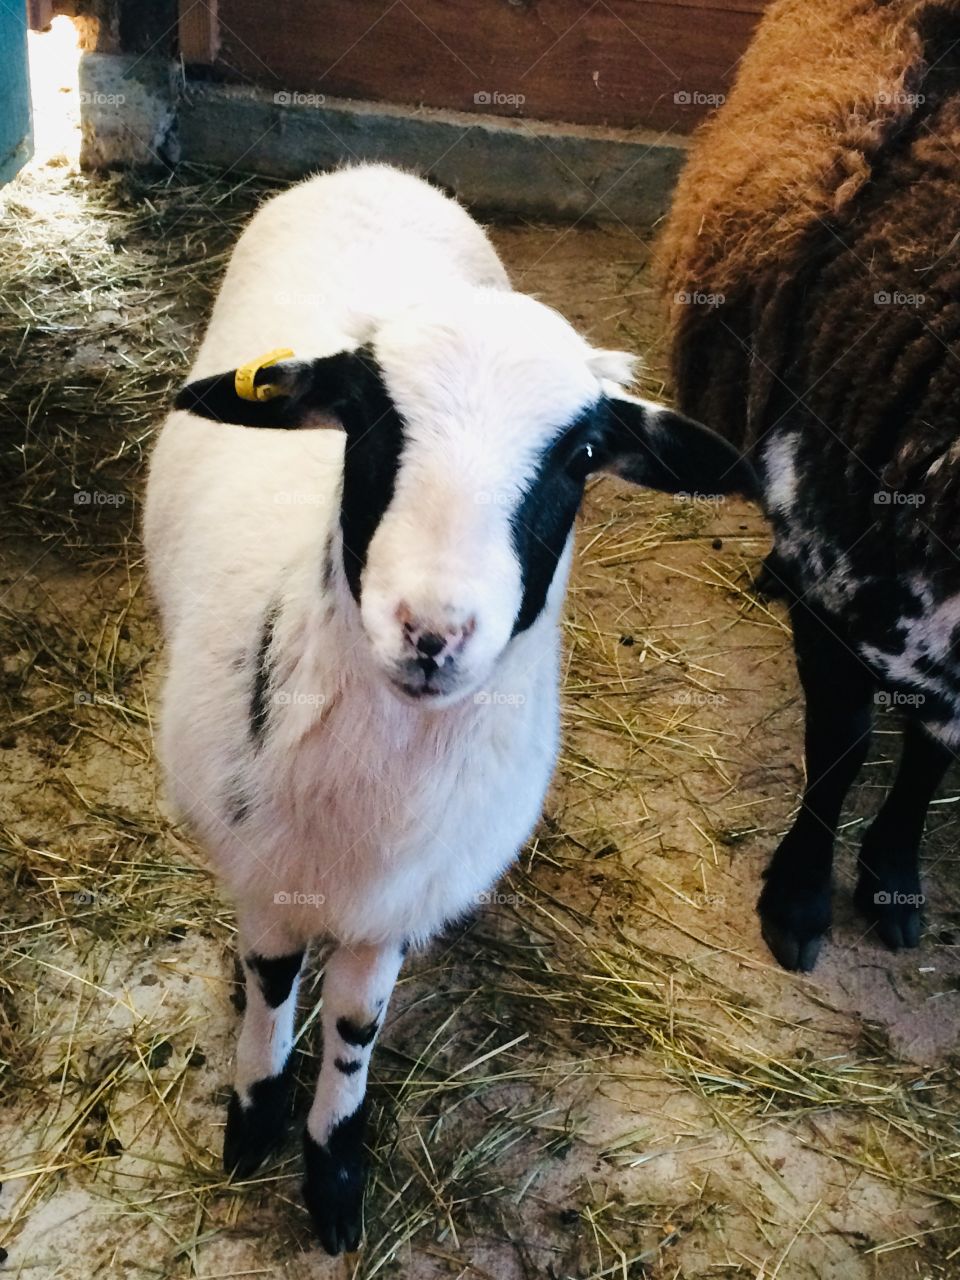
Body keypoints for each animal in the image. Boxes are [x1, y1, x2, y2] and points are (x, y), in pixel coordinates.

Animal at [144, 162, 753, 1253]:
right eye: (364, 417)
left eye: (582, 452)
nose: (433, 631)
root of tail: (371, 171)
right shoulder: (267, 871)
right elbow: (271, 986)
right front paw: (254, 1116)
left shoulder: (401, 897)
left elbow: (354, 1028)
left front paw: (334, 1169)